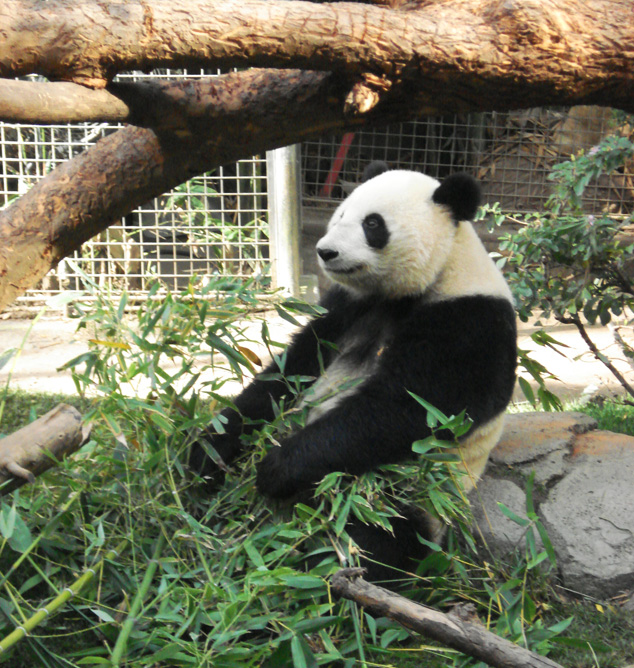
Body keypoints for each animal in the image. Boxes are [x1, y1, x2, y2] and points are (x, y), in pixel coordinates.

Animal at [190, 164, 516, 580]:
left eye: (372, 224)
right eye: (341, 213)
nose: (325, 251)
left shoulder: (469, 322)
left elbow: (405, 409)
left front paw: (276, 468)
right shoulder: (347, 306)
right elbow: (291, 370)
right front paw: (211, 450)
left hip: (408, 492)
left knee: (377, 536)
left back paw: (311, 568)